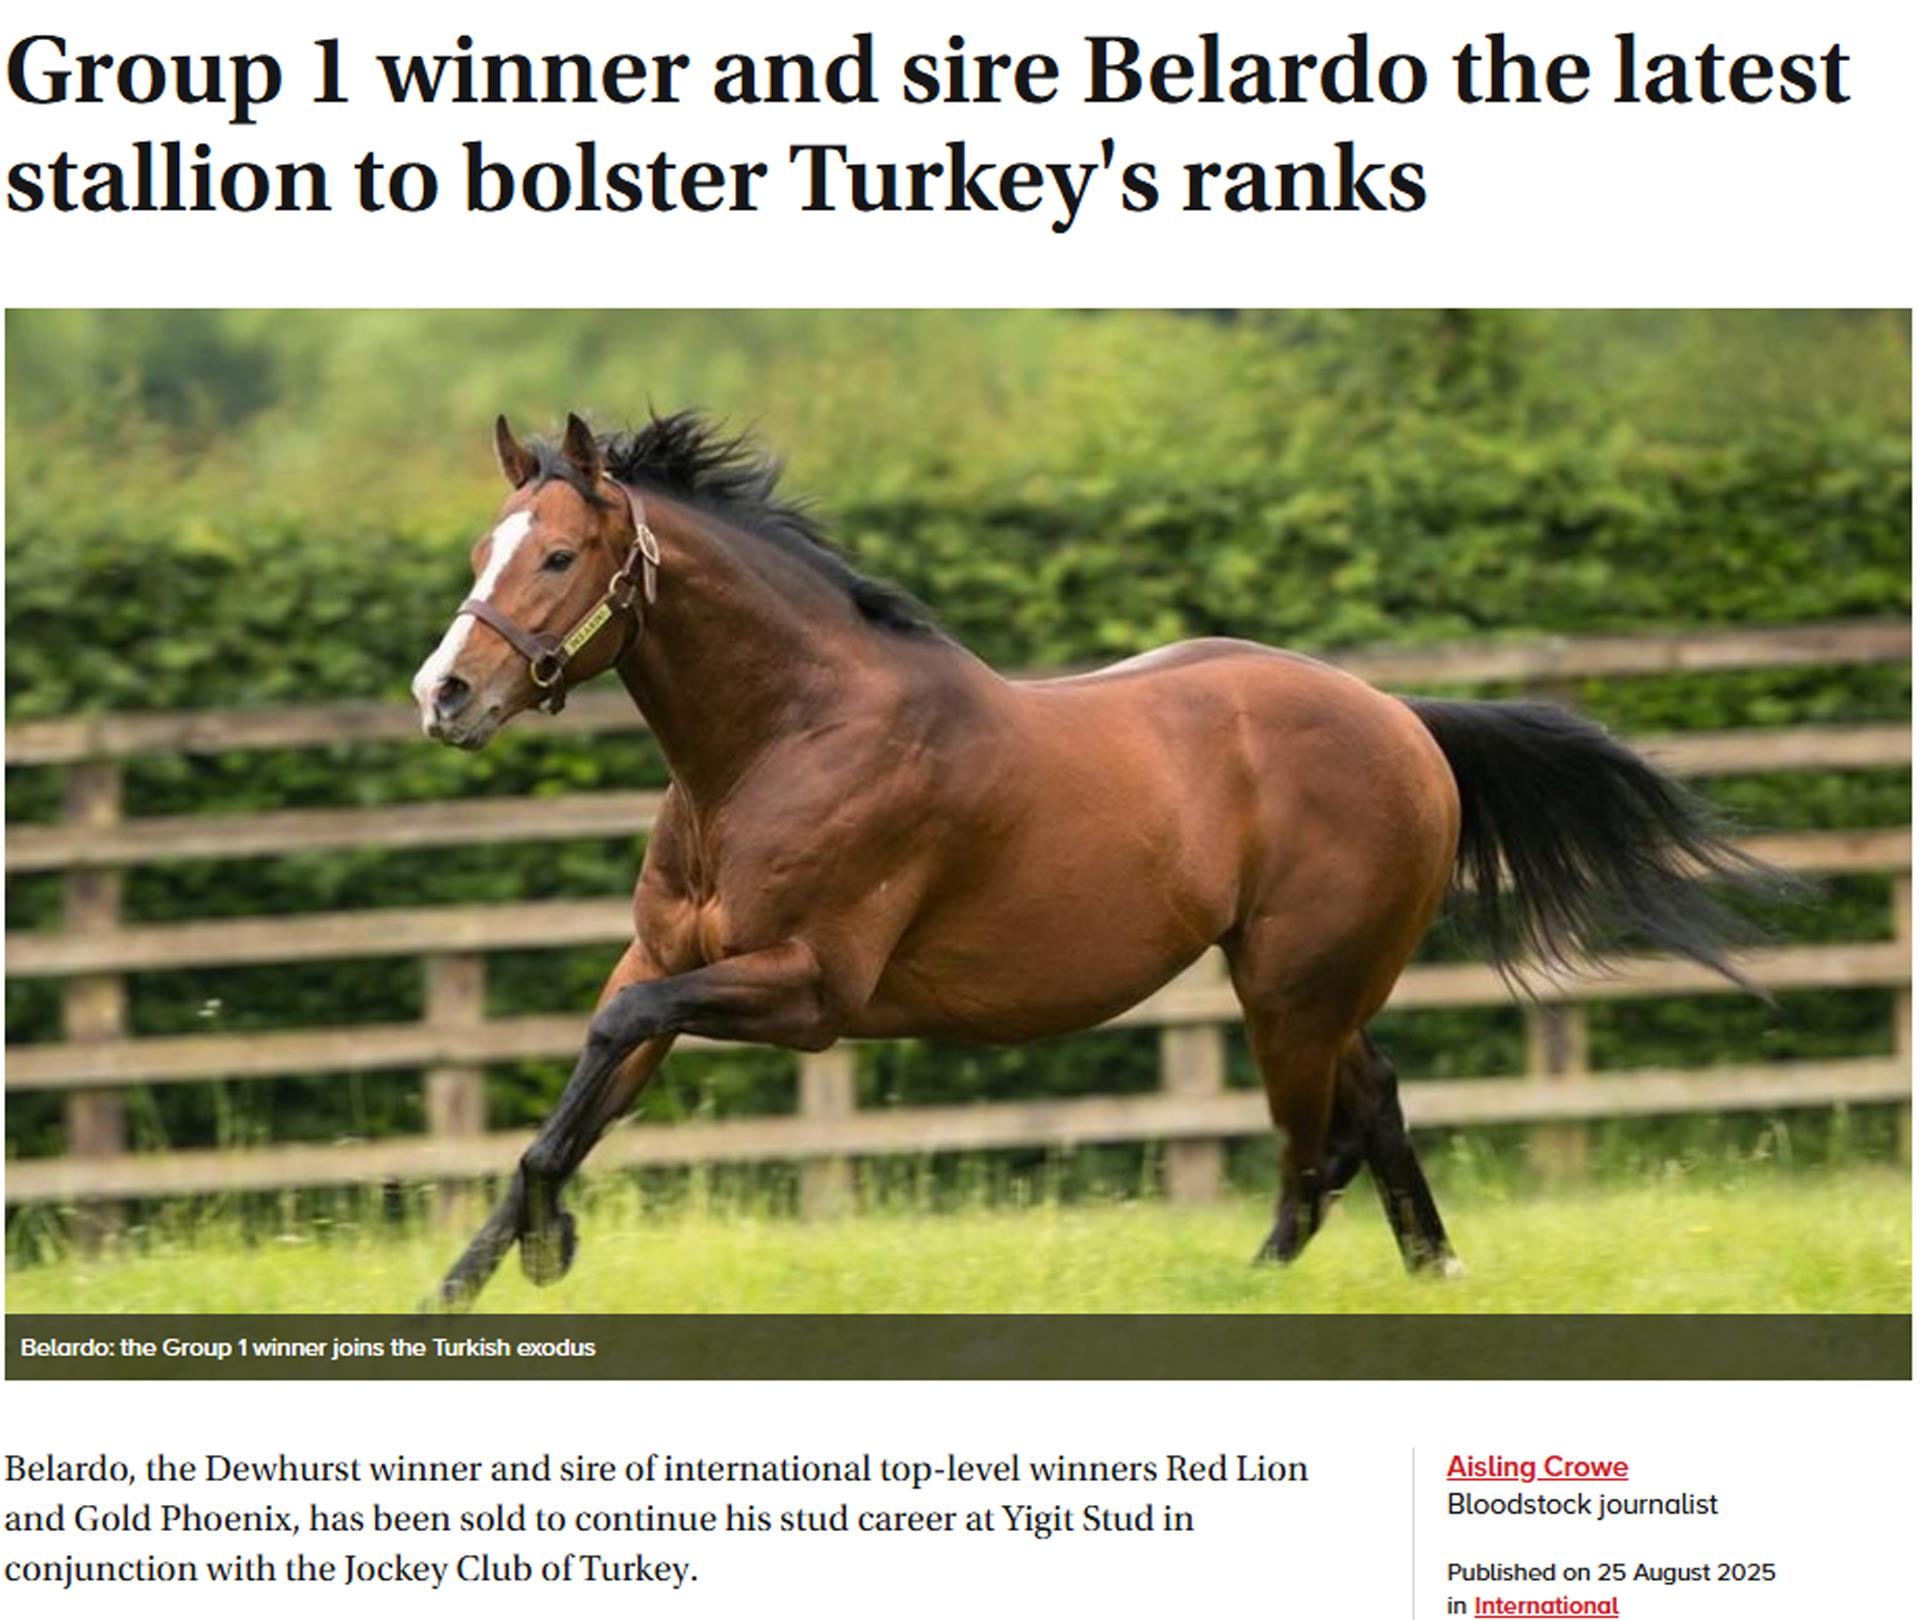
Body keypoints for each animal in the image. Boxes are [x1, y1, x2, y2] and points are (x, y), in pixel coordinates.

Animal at [414, 410, 1777, 1310]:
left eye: (558, 556)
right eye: (480, 551)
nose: (443, 696)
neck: (779, 744)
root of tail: (1401, 719)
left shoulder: (806, 992)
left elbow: (599, 1060)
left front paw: (551, 1246)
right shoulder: (665, 965)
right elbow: (579, 1096)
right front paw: (469, 1282)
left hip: (1289, 985)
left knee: (1316, 1145)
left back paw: (1272, 1290)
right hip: (1313, 989)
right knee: (1371, 1104)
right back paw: (1431, 1267)